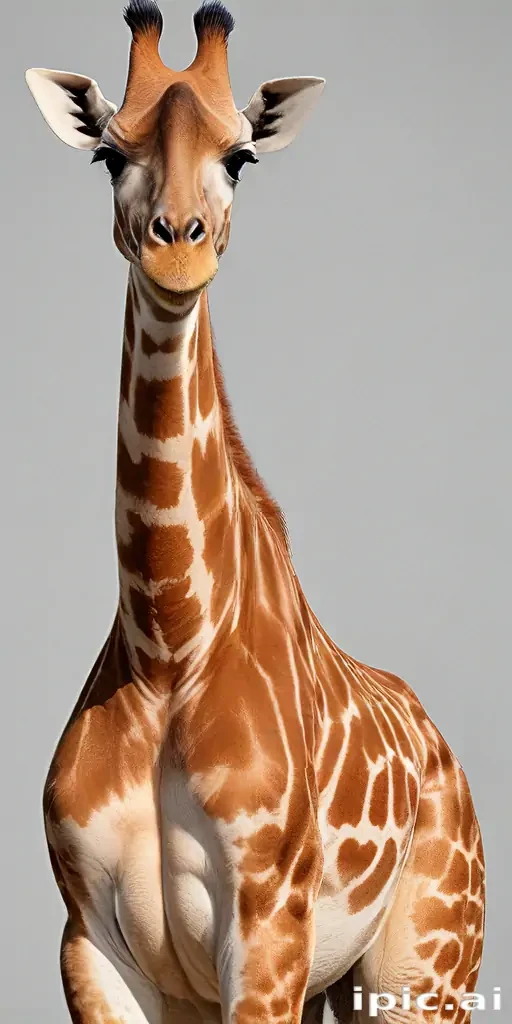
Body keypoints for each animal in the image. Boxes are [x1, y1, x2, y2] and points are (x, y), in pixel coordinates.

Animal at [26, 2, 485, 1023]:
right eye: (108, 154)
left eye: (240, 157)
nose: (179, 245)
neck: (169, 643)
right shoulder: (92, 944)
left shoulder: (269, 930)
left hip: (427, 970)